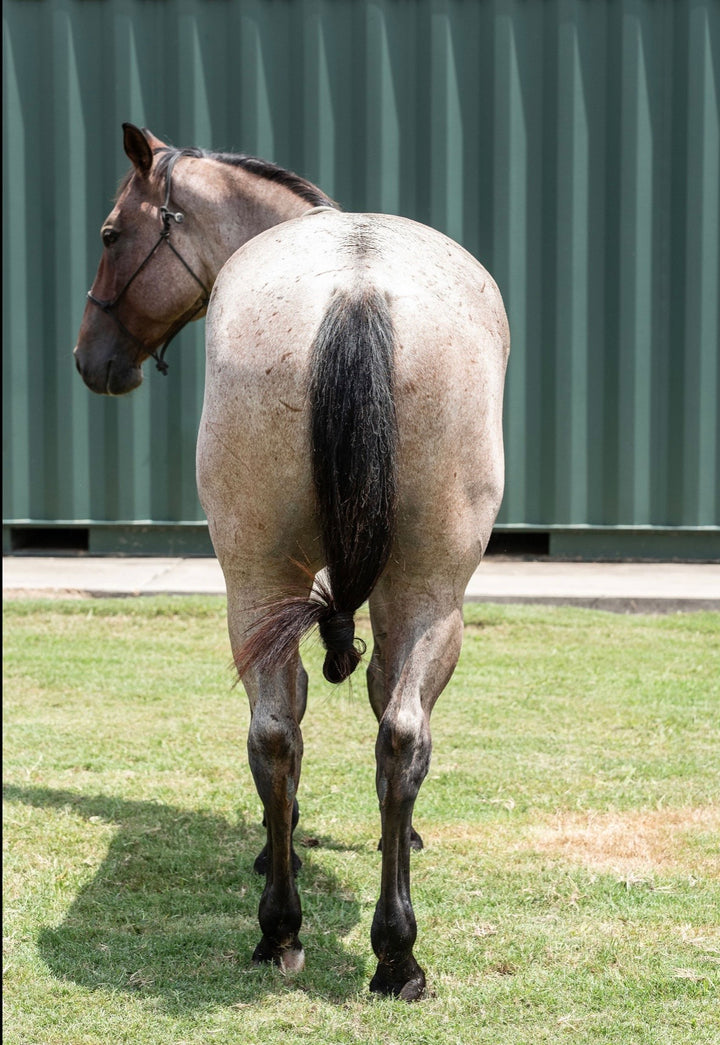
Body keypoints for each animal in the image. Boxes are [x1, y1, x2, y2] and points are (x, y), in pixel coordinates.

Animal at [74, 124, 509, 1001]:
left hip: (277, 587)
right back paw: (365, 944)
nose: (89, 357)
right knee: (365, 731)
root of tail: (357, 291)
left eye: (109, 234)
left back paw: (318, 933)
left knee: (296, 733)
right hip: (413, 592)